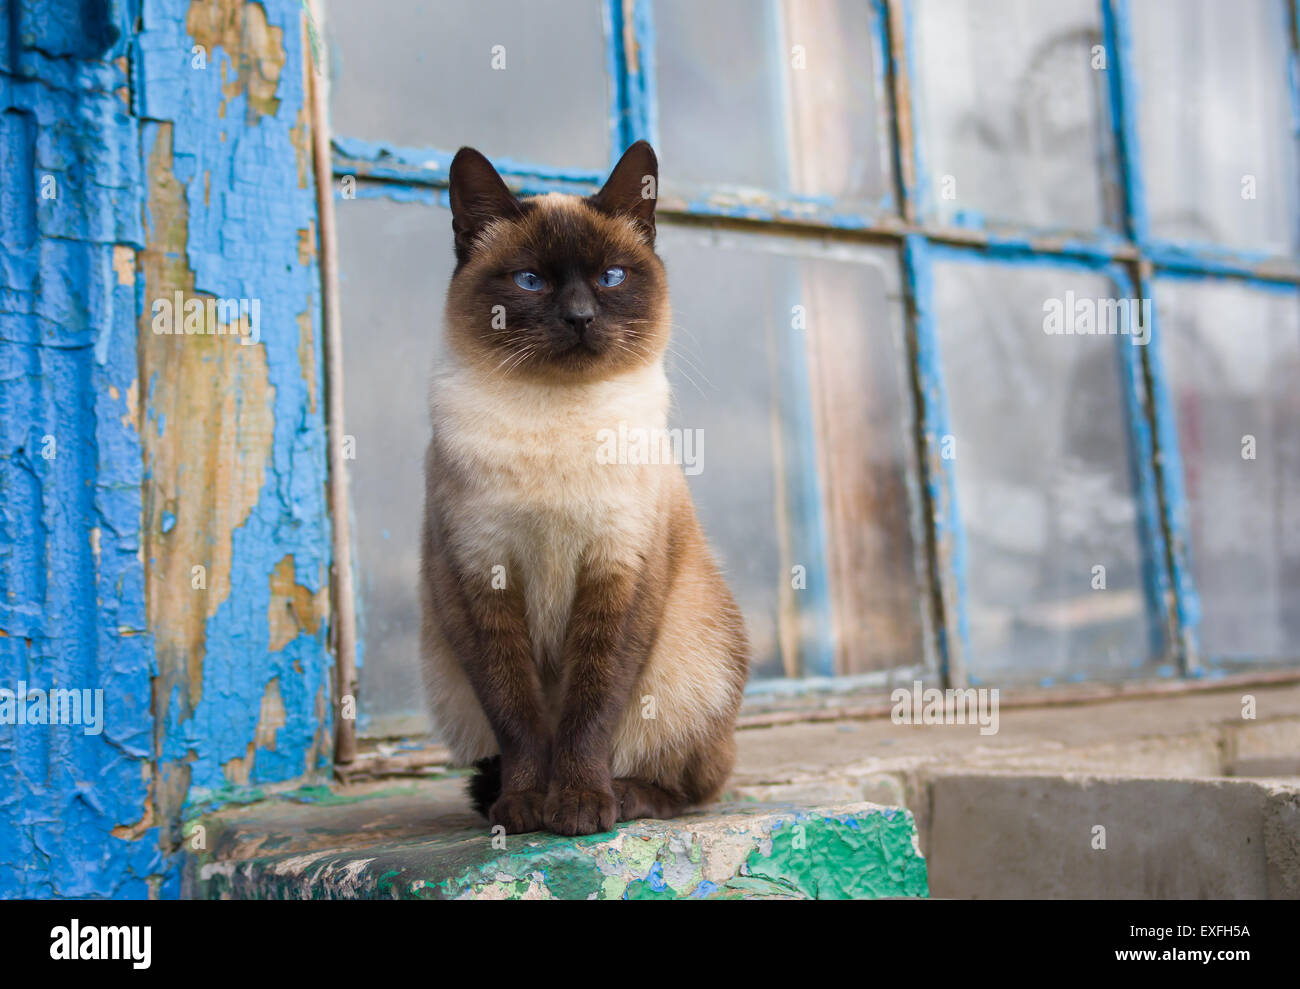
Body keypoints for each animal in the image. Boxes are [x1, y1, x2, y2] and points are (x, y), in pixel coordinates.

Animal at [416, 139, 743, 831]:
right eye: (531, 281)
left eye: (611, 278)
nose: (580, 317)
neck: (557, 414)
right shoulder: (480, 577)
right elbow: (517, 716)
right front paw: (524, 809)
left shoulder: (618, 571)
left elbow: (591, 707)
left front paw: (581, 808)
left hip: (692, 665)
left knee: (698, 782)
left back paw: (626, 798)